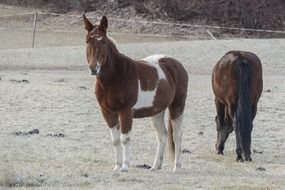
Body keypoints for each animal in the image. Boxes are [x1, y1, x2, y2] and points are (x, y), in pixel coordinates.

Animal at [83, 14, 187, 172]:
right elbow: (115, 140)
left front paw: (125, 167)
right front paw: (117, 166)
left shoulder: (125, 111)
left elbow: (125, 138)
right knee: (162, 135)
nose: (94, 68)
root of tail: (176, 64)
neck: (116, 77)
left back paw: (177, 167)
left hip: (177, 106)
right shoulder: (107, 112)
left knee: (177, 135)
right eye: (88, 41)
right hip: (157, 111)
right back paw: (155, 166)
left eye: (103, 42)